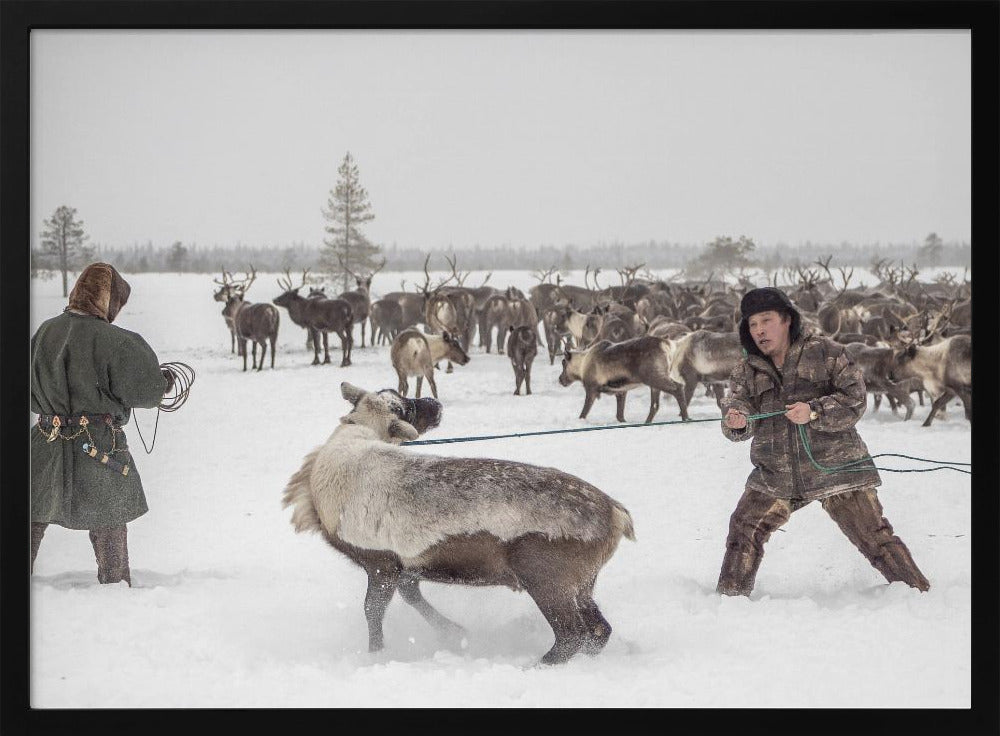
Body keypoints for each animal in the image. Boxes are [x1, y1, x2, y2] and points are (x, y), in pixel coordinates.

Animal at [281, 383, 635, 665]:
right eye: (404, 402)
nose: (435, 404)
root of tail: (619, 516)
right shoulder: (406, 564)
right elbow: (410, 595)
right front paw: (454, 632)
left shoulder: (381, 563)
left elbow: (373, 611)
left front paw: (377, 654)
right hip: (582, 584)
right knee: (598, 629)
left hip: (547, 579)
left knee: (572, 634)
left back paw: (535, 664)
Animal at [558, 336, 690, 424]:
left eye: (563, 363)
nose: (560, 380)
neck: (582, 365)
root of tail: (667, 344)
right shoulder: (621, 391)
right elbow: (619, 415)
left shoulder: (591, 389)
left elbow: (583, 413)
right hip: (655, 383)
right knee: (655, 405)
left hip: (653, 377)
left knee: (678, 387)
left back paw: (685, 418)